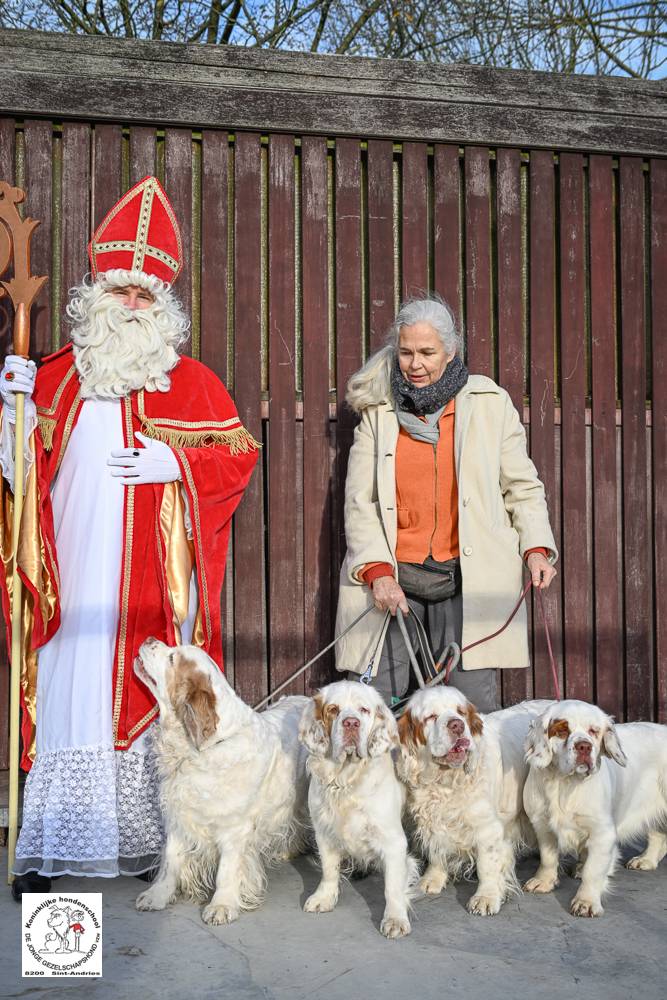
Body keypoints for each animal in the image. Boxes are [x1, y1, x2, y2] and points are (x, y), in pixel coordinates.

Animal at [134, 644, 310, 924]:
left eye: (172, 658)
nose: (149, 640)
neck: (199, 751)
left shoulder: (234, 829)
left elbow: (226, 871)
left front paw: (222, 905)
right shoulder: (178, 818)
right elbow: (171, 862)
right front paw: (157, 896)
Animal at [298, 680, 418, 936]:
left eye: (364, 710)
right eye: (333, 709)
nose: (351, 723)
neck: (346, 780)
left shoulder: (393, 841)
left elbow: (392, 887)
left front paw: (395, 919)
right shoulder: (324, 832)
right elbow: (329, 869)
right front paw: (324, 898)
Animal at [396, 688, 548, 916]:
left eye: (461, 712)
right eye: (431, 717)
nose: (457, 725)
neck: (446, 781)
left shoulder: (488, 829)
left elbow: (487, 865)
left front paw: (486, 897)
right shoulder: (432, 820)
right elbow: (435, 852)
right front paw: (432, 879)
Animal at [524, 700, 667, 916]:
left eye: (594, 731)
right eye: (562, 730)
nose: (584, 746)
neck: (564, 784)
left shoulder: (602, 833)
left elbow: (592, 871)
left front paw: (586, 902)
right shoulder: (542, 825)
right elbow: (547, 857)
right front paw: (544, 881)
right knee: (657, 834)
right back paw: (646, 860)